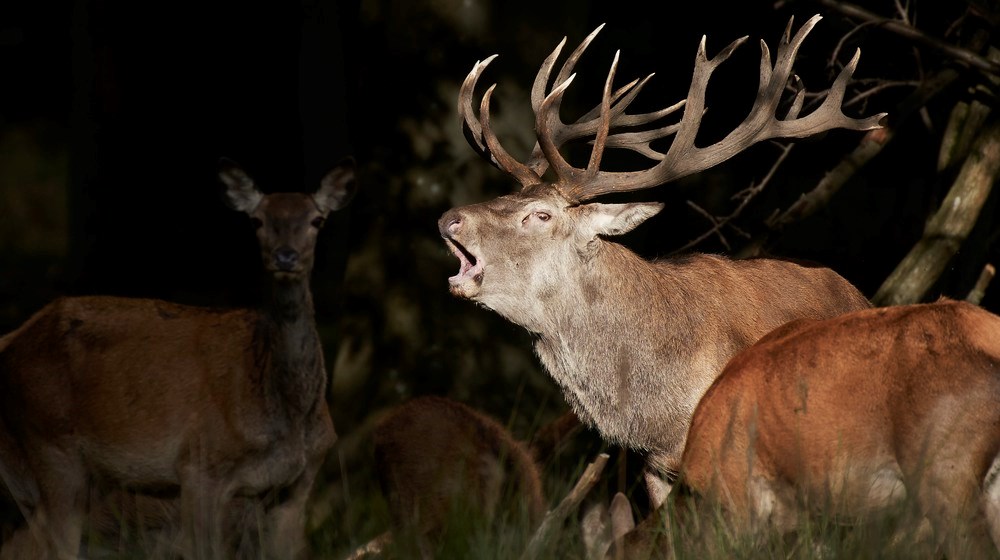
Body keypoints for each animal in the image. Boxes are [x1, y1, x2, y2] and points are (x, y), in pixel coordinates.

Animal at [0, 157, 357, 560]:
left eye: (317, 219)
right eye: (257, 220)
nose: (285, 256)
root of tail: (9, 341)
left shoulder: (301, 480)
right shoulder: (200, 465)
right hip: (51, 444)